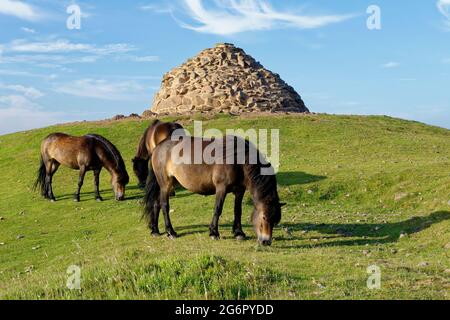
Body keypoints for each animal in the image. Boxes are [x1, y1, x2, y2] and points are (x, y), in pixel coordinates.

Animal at [143, 135, 284, 245]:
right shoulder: (221, 188)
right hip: (165, 185)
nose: (266, 241)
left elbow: (238, 210)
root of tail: (158, 147)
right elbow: (218, 209)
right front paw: (214, 233)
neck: (238, 160)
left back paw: (155, 230)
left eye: (276, 220)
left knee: (156, 204)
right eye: (264, 217)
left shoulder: (240, 190)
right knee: (164, 206)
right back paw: (170, 232)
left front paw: (238, 232)